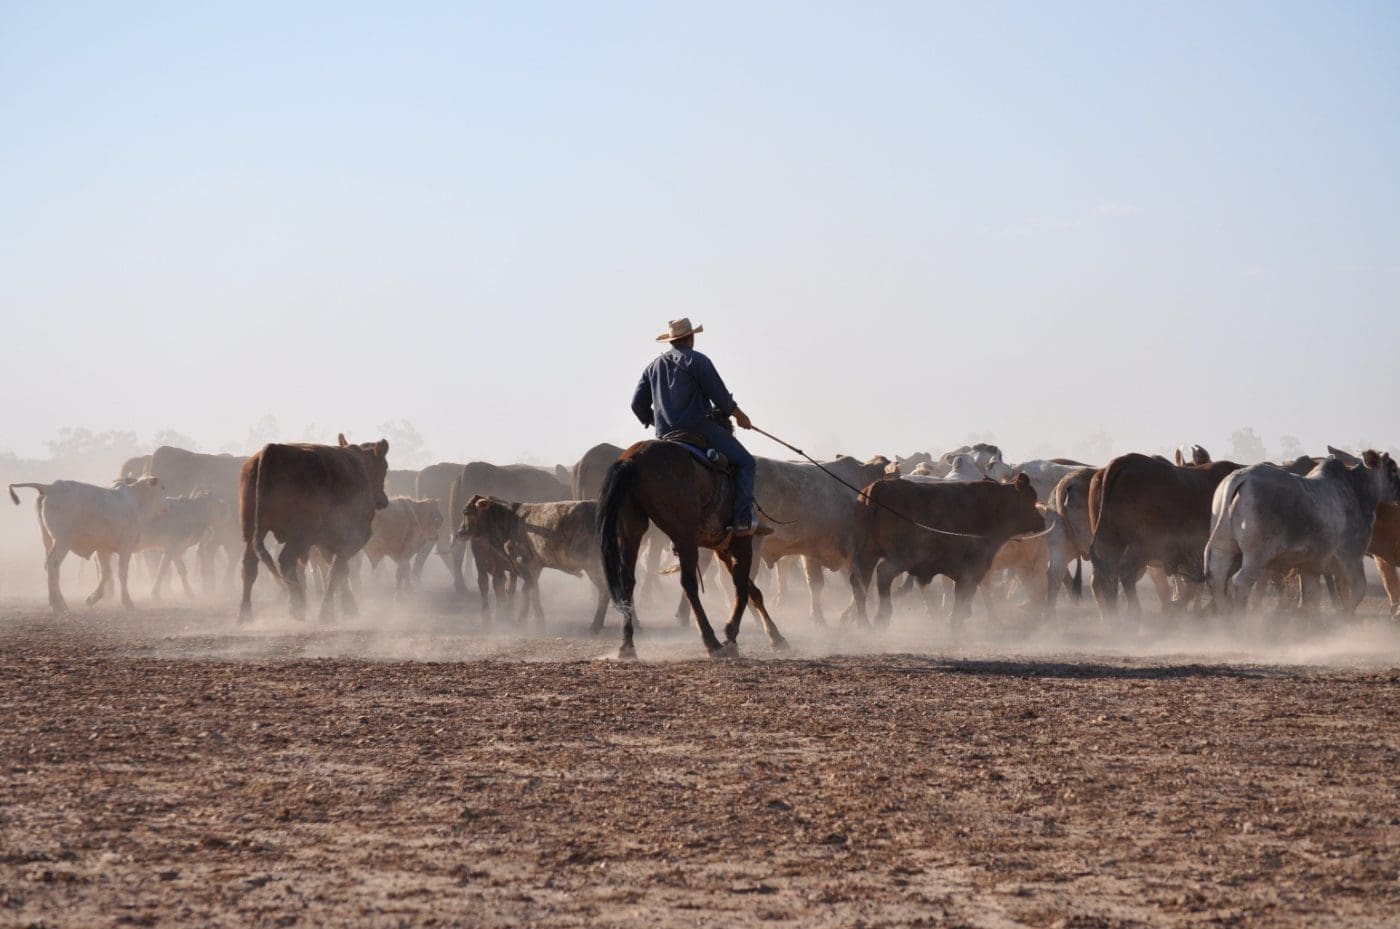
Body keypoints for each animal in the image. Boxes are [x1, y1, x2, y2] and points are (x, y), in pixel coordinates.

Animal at [9, 478, 166, 610]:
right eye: (163, 488)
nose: (168, 504)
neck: (135, 501)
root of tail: (50, 487)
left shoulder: (103, 549)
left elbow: (106, 572)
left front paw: (92, 598)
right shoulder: (125, 547)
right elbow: (121, 573)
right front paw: (127, 602)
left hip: (47, 540)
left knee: (50, 567)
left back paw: (56, 601)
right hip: (62, 542)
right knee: (53, 564)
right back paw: (58, 604)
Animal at [235, 430, 389, 621]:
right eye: (385, 467)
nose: (383, 500)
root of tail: (273, 450)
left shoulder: (325, 542)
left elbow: (340, 571)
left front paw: (347, 607)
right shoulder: (353, 538)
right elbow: (336, 571)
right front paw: (328, 612)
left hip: (250, 533)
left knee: (249, 566)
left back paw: (245, 614)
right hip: (299, 536)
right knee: (285, 561)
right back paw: (297, 605)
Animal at [596, 439, 789, 657]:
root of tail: (634, 458)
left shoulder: (722, 549)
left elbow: (752, 590)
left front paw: (775, 635)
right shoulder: (742, 543)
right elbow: (741, 587)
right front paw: (731, 635)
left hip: (632, 529)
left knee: (628, 581)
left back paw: (627, 644)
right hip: (684, 537)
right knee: (689, 583)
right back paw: (712, 642)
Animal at [845, 472, 1047, 632]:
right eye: (1031, 499)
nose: (1042, 521)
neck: (995, 505)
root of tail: (880, 485)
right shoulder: (973, 566)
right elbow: (963, 594)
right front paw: (956, 621)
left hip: (866, 554)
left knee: (860, 581)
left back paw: (864, 624)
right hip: (901, 556)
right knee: (883, 574)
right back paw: (882, 617)